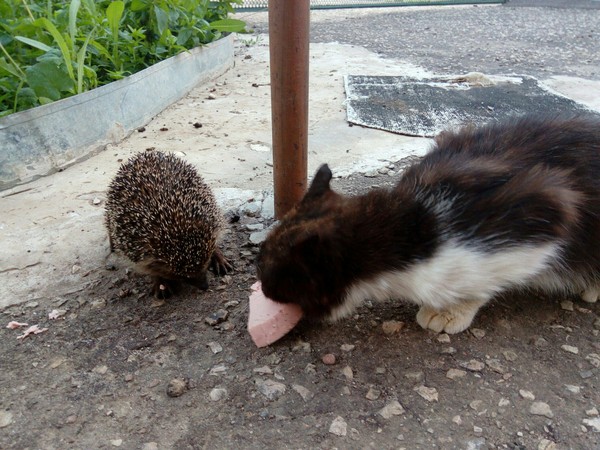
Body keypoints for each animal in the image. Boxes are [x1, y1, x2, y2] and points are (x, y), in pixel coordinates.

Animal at [256, 116, 600, 334]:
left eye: (270, 271)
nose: (262, 289)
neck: (417, 222)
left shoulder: (543, 211)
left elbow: (488, 280)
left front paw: (453, 308)